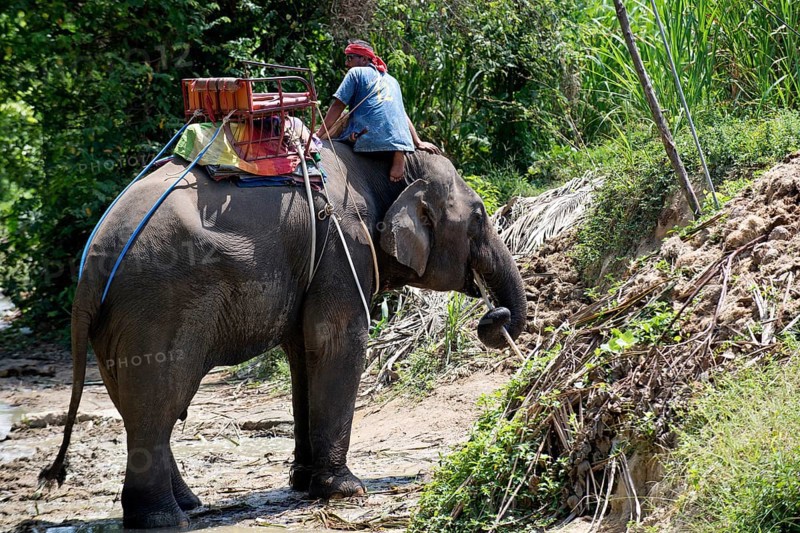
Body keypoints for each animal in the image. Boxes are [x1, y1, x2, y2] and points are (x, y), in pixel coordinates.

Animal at [41, 141, 527, 528]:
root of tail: (90, 265)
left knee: (137, 407)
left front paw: (305, 483)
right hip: (154, 308)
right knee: (157, 404)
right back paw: (165, 520)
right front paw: (346, 490)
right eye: (480, 216)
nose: (495, 317)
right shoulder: (342, 244)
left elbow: (303, 354)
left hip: (118, 322)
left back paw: (188, 503)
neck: (382, 164)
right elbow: (338, 341)